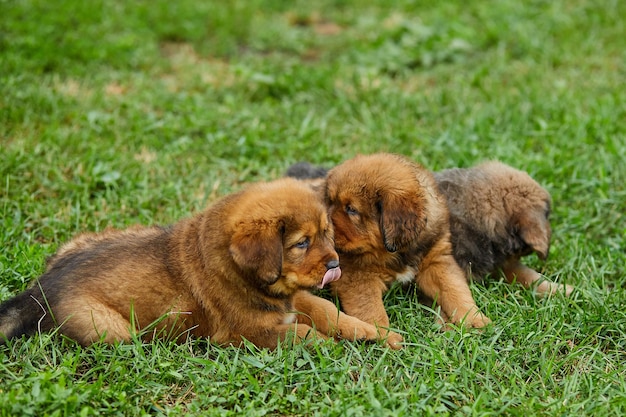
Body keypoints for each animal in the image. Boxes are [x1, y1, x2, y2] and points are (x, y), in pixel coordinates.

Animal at [1, 176, 390, 348]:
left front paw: (373, 332)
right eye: (301, 243)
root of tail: (38, 291)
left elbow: (326, 310)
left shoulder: (295, 298)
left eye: (327, 233)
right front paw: (334, 349)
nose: (335, 265)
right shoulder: (248, 332)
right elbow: (304, 333)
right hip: (109, 329)